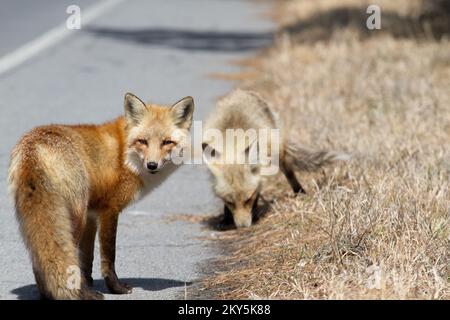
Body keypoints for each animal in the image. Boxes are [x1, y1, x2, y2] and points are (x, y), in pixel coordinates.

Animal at [7, 92, 193, 300]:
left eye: (167, 142)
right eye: (142, 141)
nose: (152, 165)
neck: (124, 154)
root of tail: (34, 148)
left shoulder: (92, 215)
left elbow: (87, 258)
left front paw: (88, 283)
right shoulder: (109, 210)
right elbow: (108, 256)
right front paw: (115, 288)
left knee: (40, 260)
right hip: (74, 218)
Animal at [202, 89, 346, 229]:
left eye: (248, 199)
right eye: (230, 202)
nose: (243, 227)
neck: (233, 141)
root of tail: (241, 91)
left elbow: (258, 190)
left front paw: (255, 214)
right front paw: (226, 219)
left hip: (278, 151)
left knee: (289, 172)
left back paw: (299, 192)